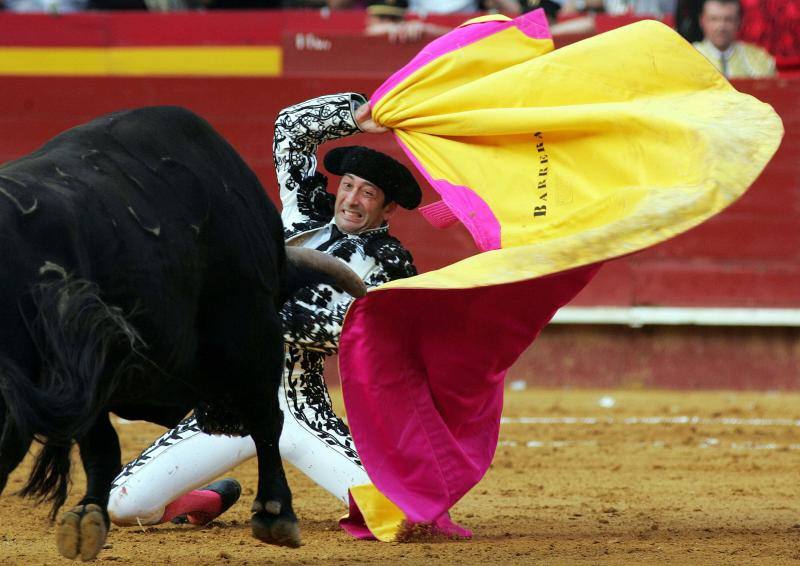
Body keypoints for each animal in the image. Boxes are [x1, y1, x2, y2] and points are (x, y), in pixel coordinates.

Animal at [0, 107, 366, 564]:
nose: (221, 419)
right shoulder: (248, 332)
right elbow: (267, 418)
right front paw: (275, 511)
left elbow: (101, 441)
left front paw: (86, 517)